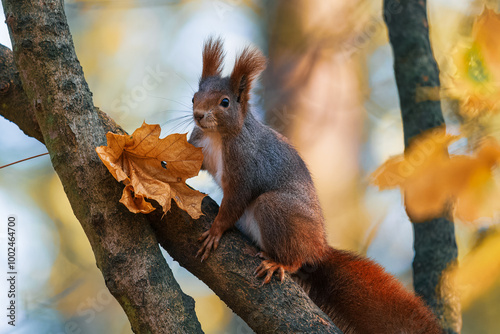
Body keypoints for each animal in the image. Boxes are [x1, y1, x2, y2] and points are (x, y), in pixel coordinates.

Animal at [188, 37, 442, 334]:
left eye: (225, 102)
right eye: (194, 96)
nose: (198, 115)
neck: (217, 136)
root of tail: (319, 249)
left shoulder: (245, 166)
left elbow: (235, 200)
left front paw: (215, 231)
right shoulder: (199, 145)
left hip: (277, 209)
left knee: (294, 255)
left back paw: (280, 263)